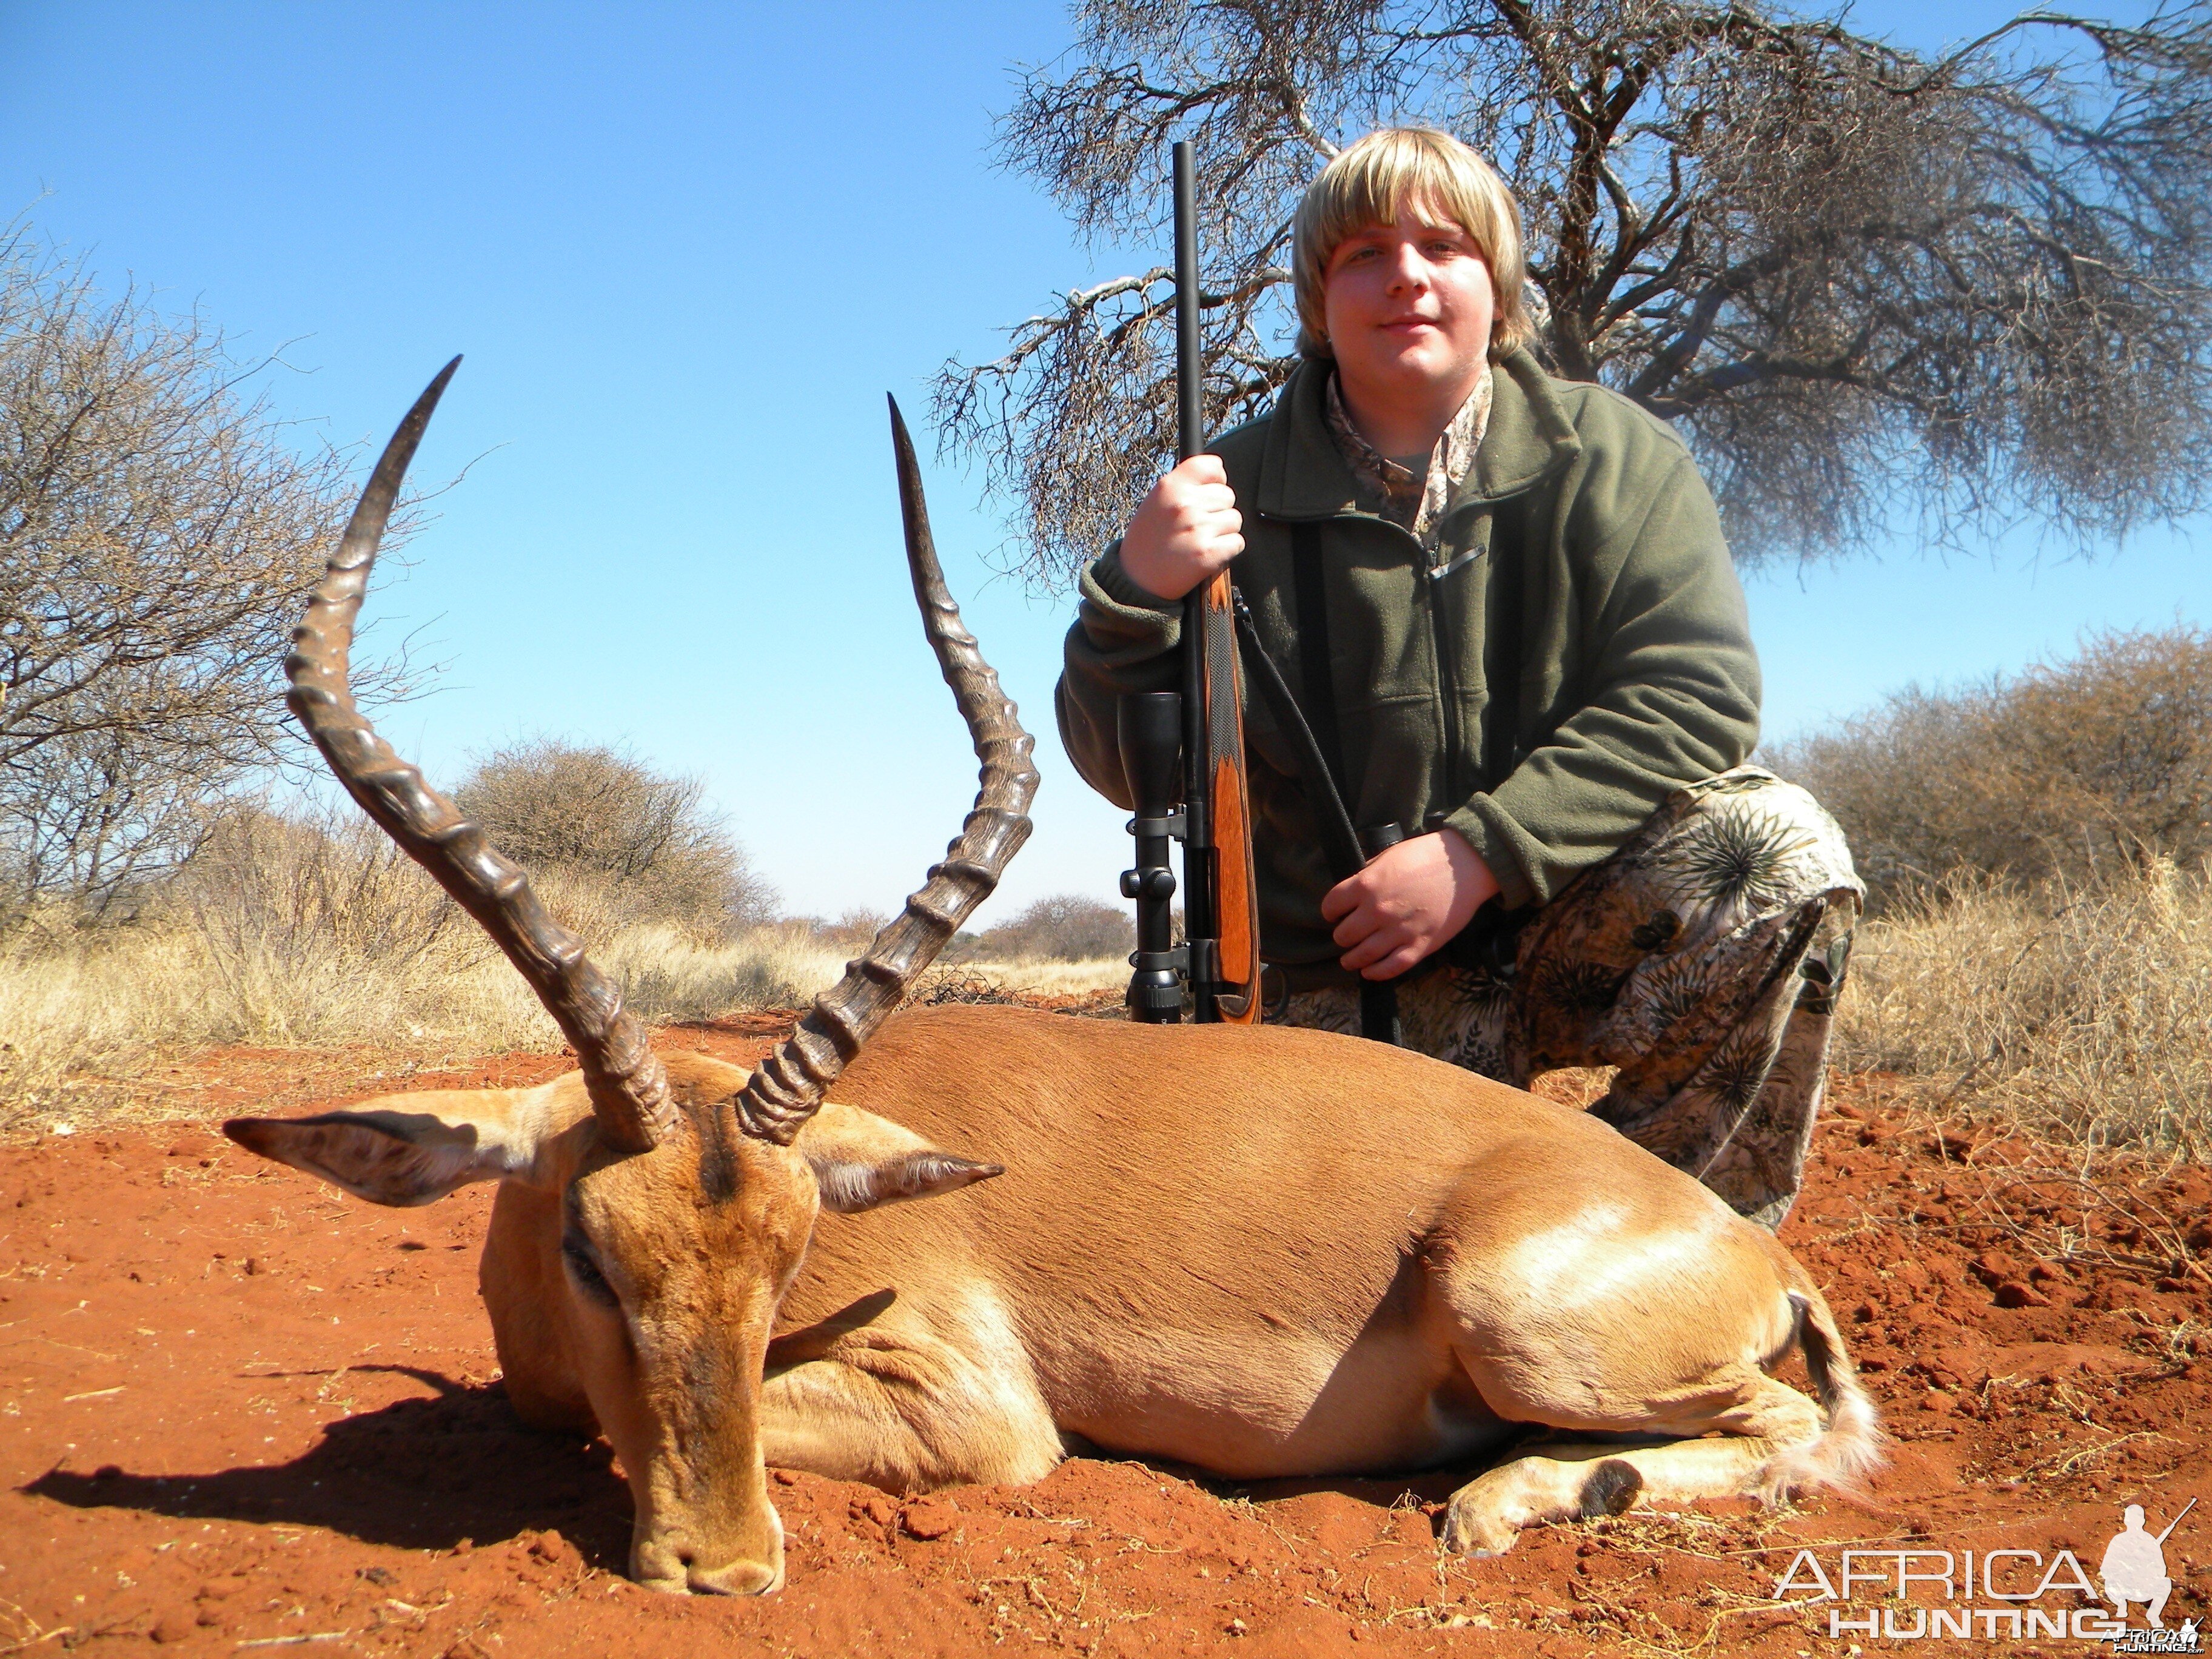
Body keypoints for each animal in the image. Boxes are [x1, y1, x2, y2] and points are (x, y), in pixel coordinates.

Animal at [227, 364, 1881, 1596]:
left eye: (791, 1252)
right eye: (589, 1247)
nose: (728, 1564)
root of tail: (1748, 1248)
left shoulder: (971, 1412)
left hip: (1526, 1320)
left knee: (1807, 1429)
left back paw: (1509, 1501)